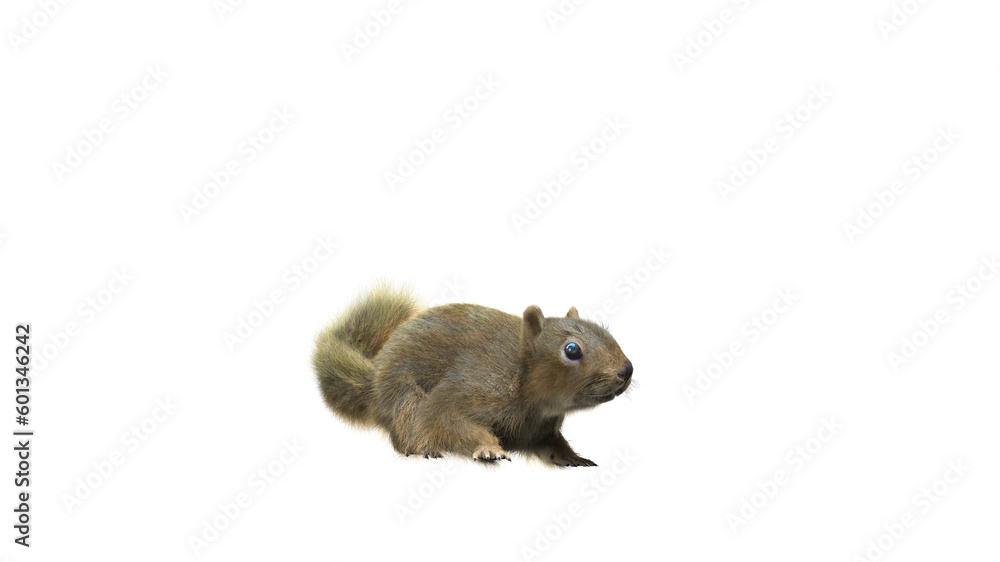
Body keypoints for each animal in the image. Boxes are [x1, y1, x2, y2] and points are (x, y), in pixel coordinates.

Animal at [312, 285, 633, 467]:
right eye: (571, 350)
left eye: (603, 329)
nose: (627, 370)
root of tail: (375, 380)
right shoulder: (473, 388)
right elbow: (446, 418)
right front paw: (489, 449)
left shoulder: (541, 429)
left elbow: (553, 446)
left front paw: (571, 458)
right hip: (406, 398)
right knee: (404, 431)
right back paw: (420, 449)